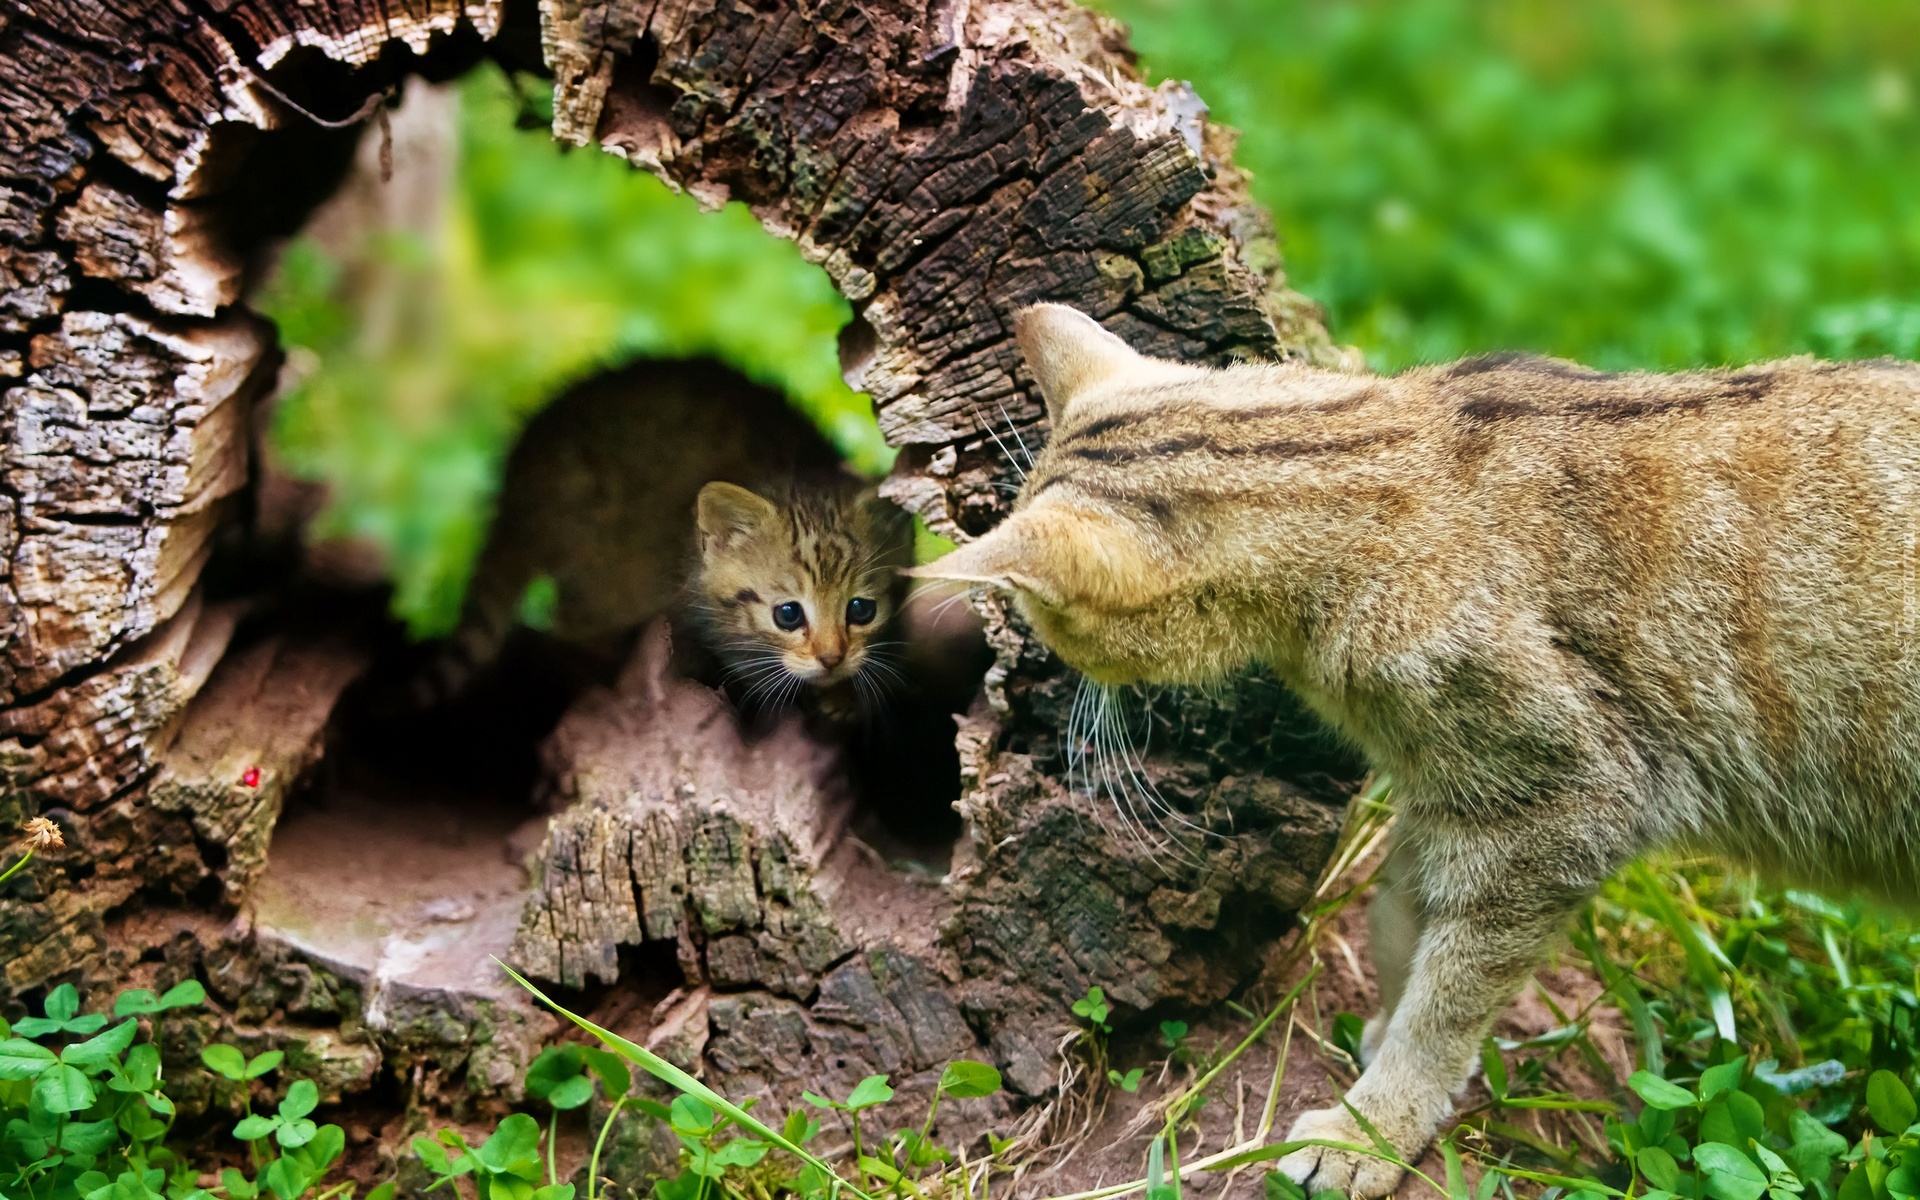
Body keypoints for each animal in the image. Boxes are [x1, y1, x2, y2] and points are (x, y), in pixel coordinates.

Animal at [910, 303, 1920, 1190]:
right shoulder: (1446, 791)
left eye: (1048, 614)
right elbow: (1401, 921)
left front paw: (1372, 1126)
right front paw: (1382, 1046)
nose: (1038, 657)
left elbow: (1450, 993)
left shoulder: (1559, 809)